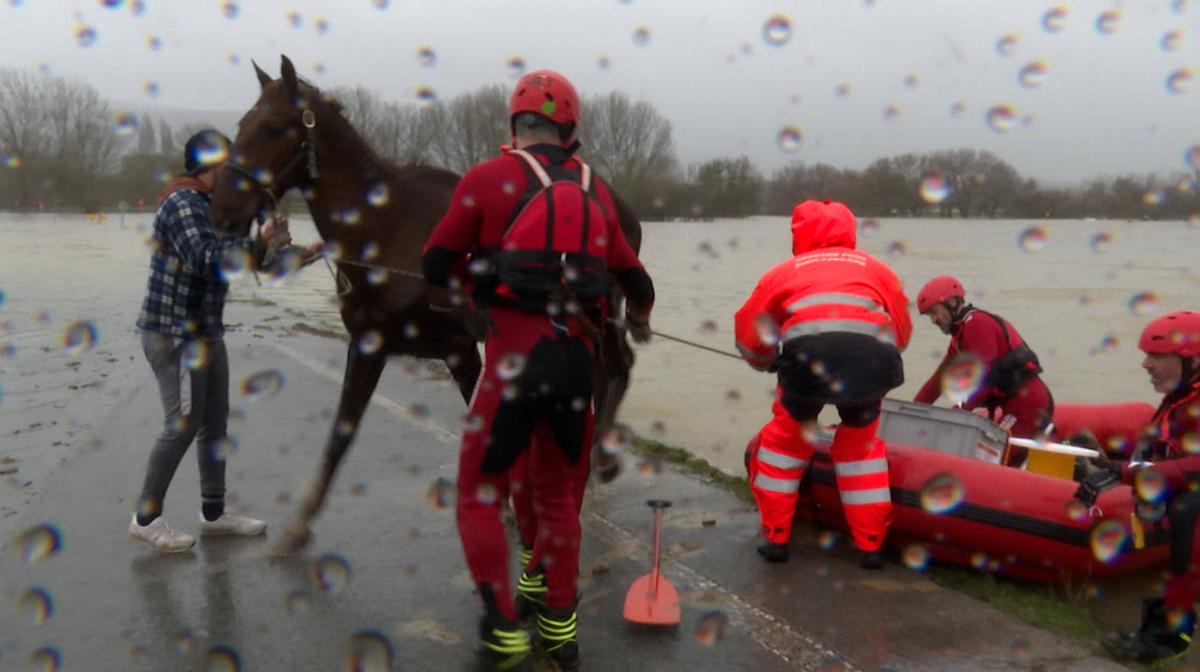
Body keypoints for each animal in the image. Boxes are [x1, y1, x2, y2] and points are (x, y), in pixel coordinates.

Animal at [213, 53, 648, 556]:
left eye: (272, 127)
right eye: (242, 124)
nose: (224, 209)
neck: (386, 228)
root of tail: (624, 210)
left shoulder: (459, 348)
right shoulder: (371, 345)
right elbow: (341, 433)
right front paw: (300, 523)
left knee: (618, 365)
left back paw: (602, 456)